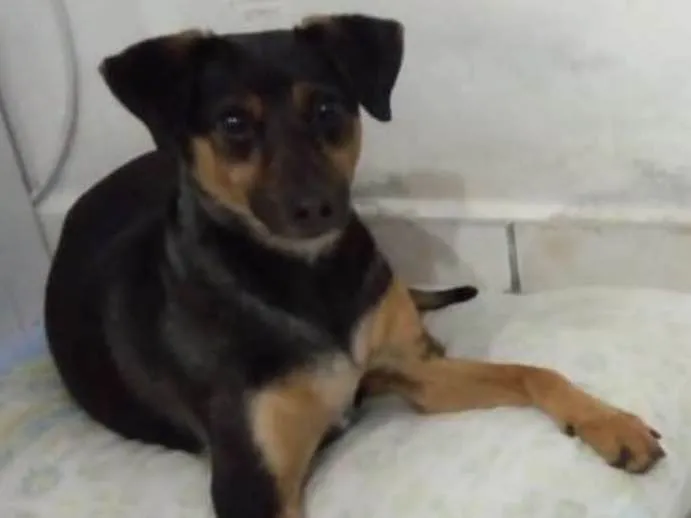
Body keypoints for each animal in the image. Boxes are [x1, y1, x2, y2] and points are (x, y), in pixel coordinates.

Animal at [45, 14, 665, 518]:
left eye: (327, 109)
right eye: (233, 124)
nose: (317, 207)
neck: (309, 278)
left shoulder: (417, 374)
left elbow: (532, 371)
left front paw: (610, 423)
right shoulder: (253, 487)